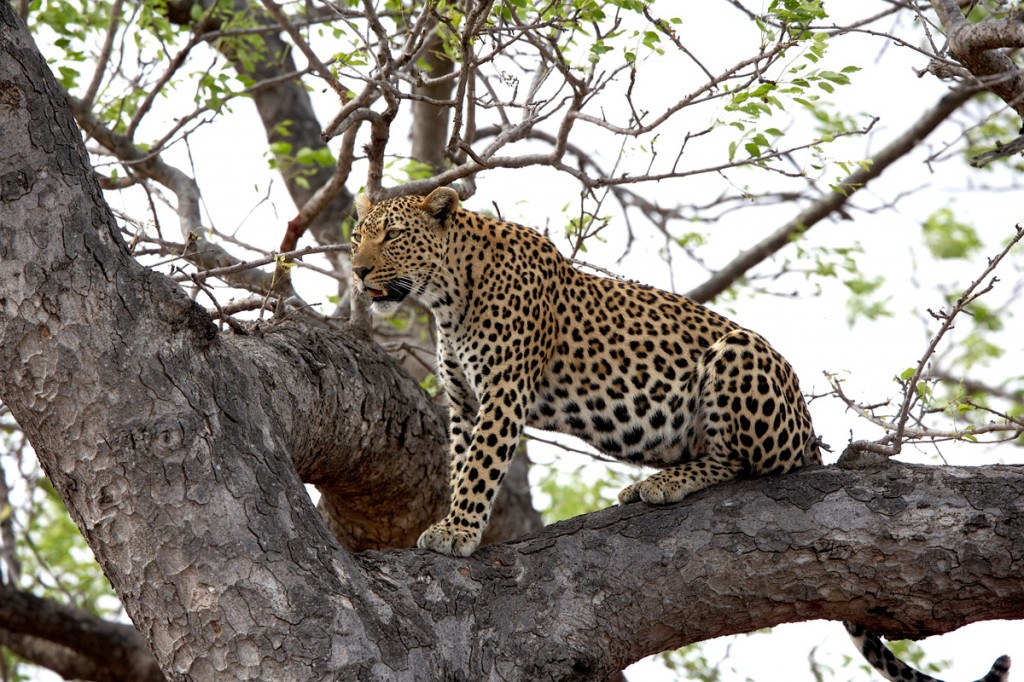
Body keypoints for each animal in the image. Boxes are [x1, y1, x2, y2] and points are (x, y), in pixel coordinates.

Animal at [350, 186, 1007, 679]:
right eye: (358, 236)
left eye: (393, 235)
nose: (356, 272)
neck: (449, 295)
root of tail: (809, 435)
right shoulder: (464, 402)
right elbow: (464, 463)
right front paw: (458, 524)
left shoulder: (502, 397)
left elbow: (482, 468)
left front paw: (456, 532)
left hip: (737, 355)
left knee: (740, 462)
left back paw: (667, 483)